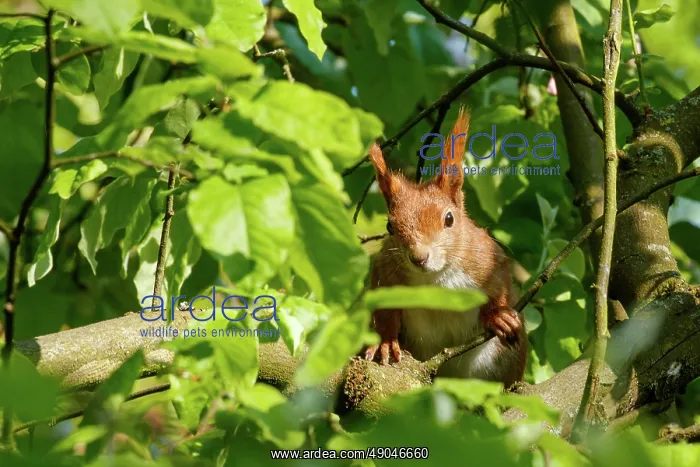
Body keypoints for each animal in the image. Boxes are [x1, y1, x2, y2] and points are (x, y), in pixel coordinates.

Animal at [363, 107, 527, 387]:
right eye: (389, 227)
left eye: (449, 219)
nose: (419, 257)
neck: (434, 279)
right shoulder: (385, 273)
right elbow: (385, 312)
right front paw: (386, 341)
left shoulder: (488, 258)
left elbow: (500, 286)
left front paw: (498, 315)